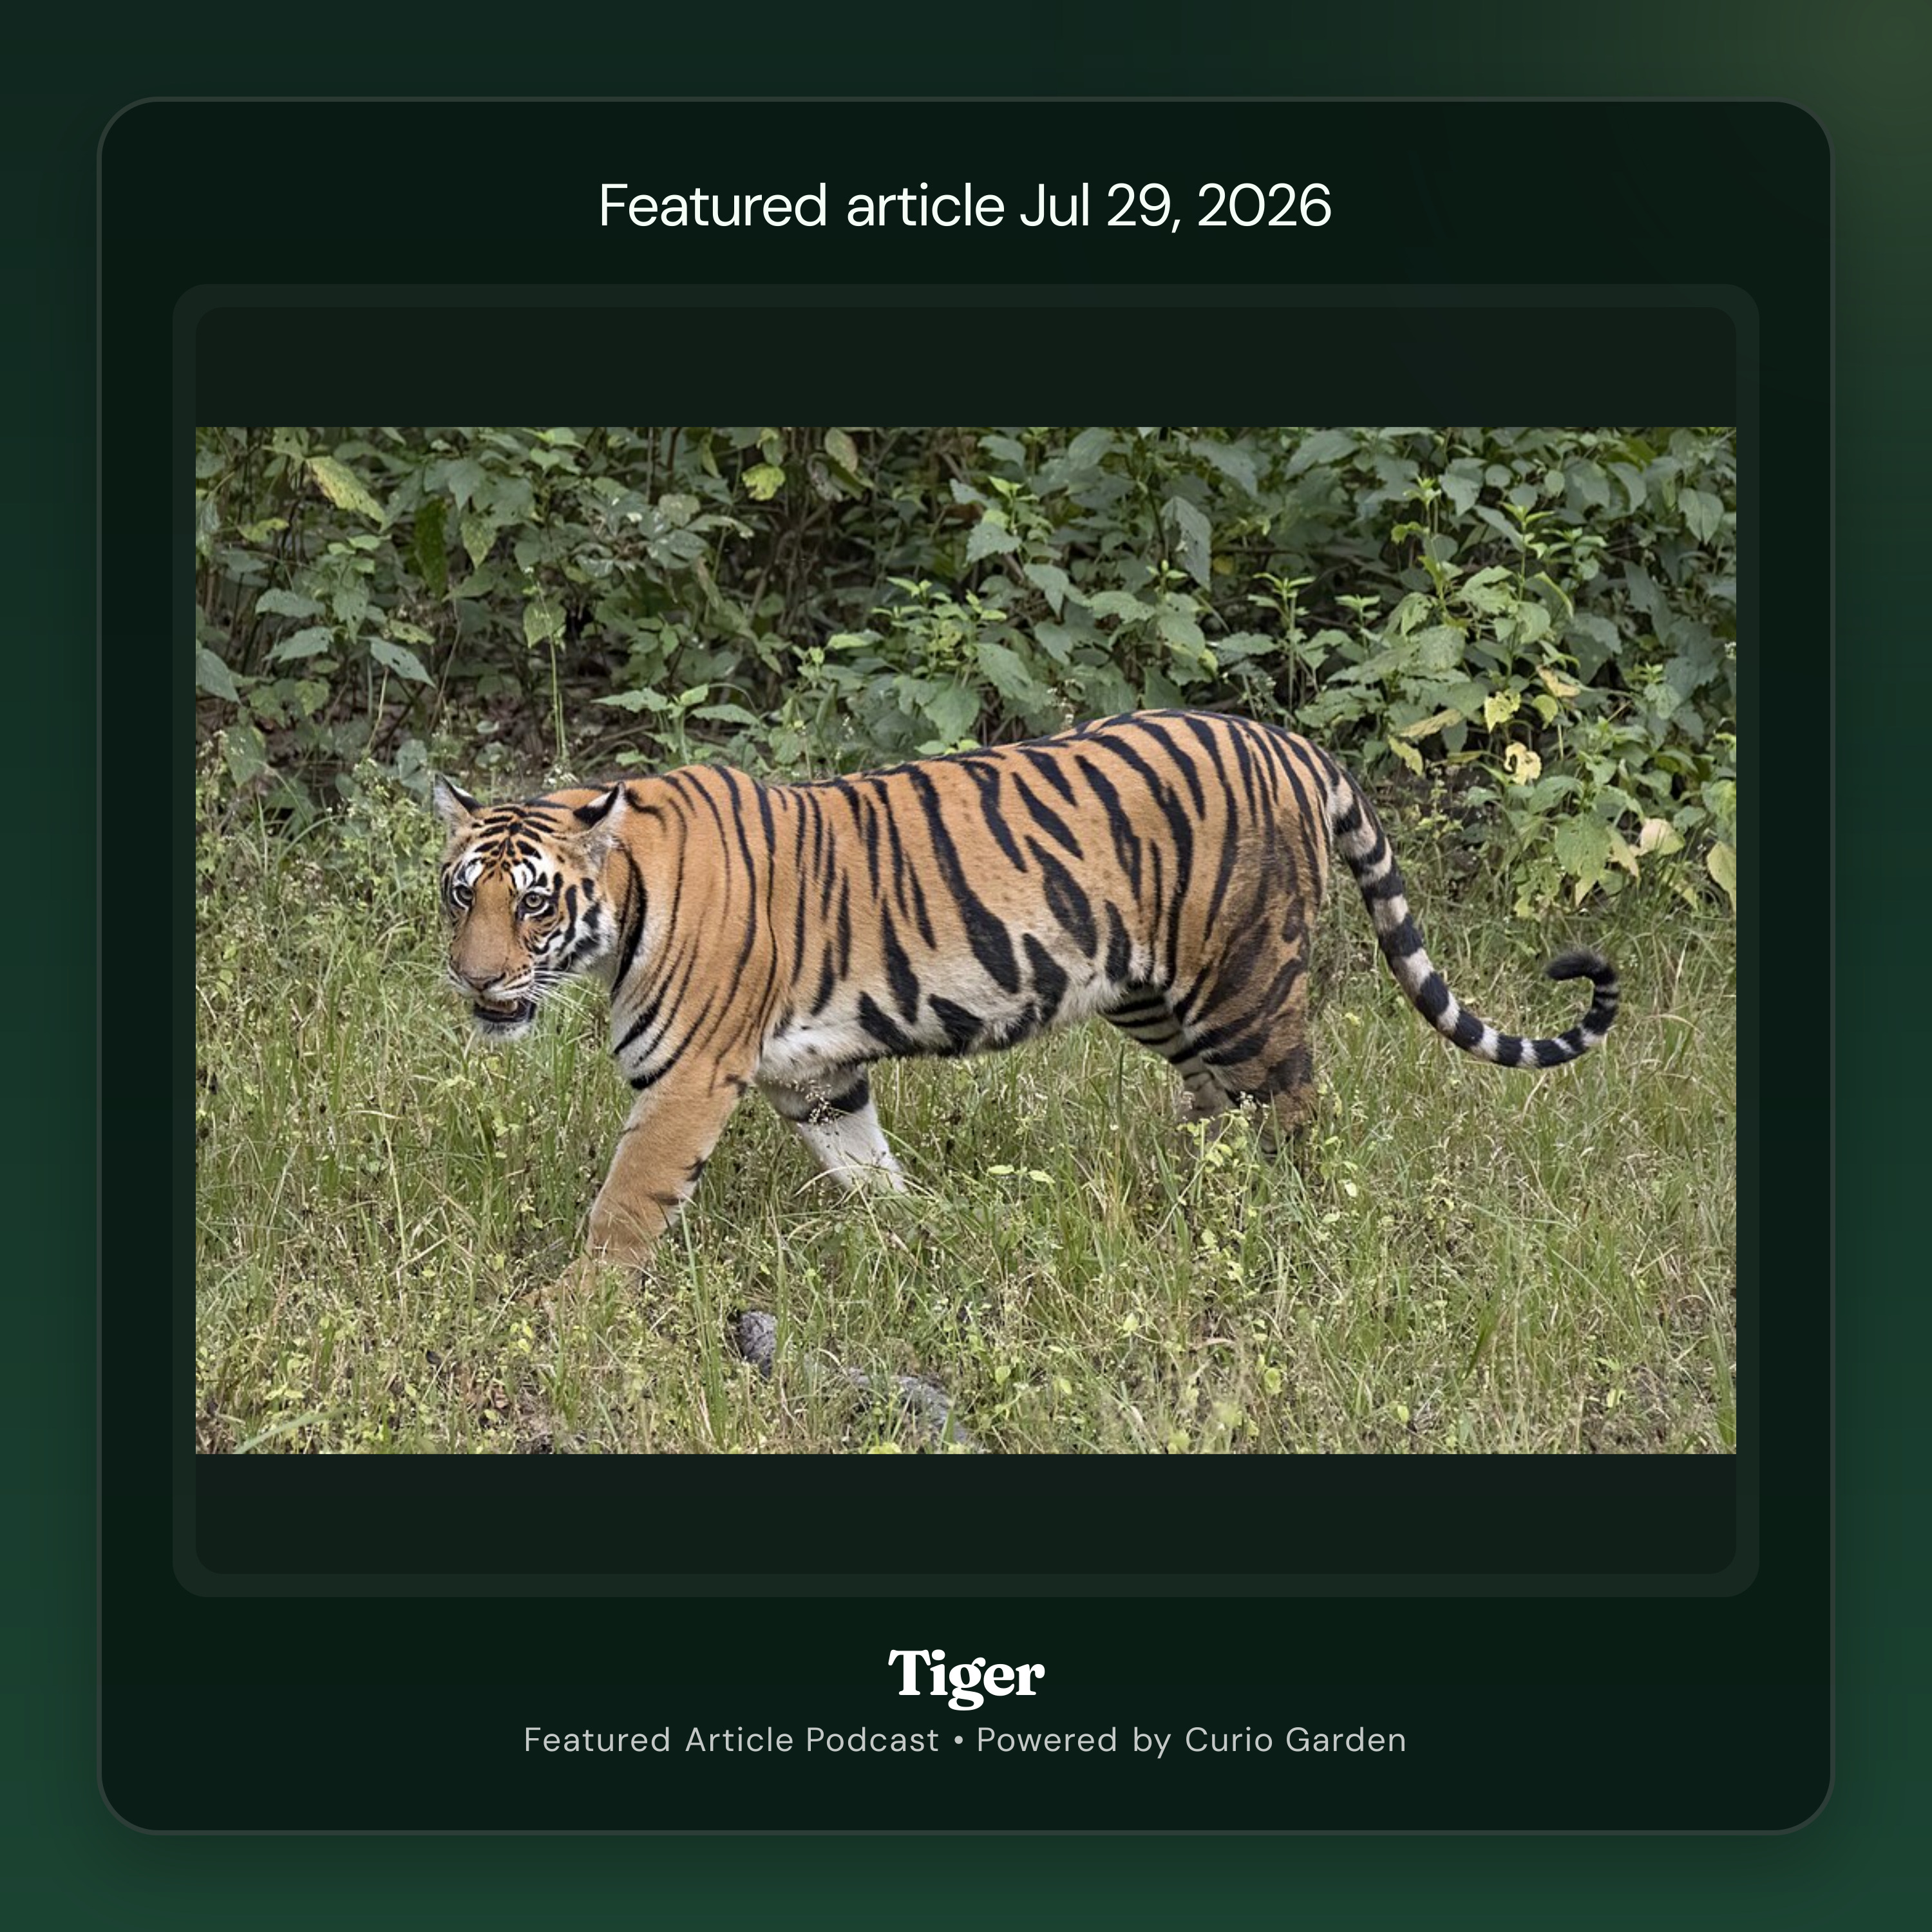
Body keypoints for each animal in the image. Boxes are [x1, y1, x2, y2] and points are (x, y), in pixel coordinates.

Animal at [432, 710, 1619, 1271]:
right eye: (460, 896)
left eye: (533, 904)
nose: (476, 981)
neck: (623, 906)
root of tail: (1289, 743)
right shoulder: (815, 1076)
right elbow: (867, 1167)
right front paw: (922, 1234)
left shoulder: (688, 1081)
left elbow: (626, 1206)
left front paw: (577, 1311)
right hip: (1155, 995)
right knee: (1217, 1107)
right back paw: (1190, 1199)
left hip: (1246, 986)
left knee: (1295, 1112)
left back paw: (1287, 1224)